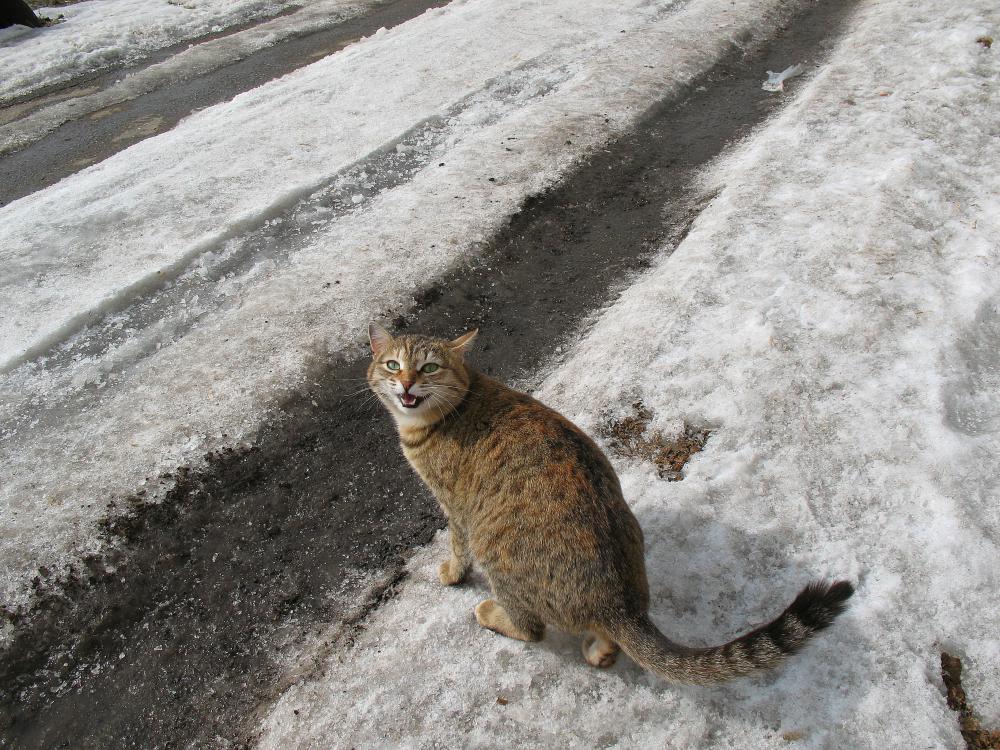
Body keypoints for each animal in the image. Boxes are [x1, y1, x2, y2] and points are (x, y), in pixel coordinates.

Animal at [368, 324, 852, 688]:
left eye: (429, 367)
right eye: (393, 364)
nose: (406, 383)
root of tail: (620, 605)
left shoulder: (455, 507)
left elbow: (456, 547)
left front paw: (451, 573)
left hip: (496, 550)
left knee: (531, 629)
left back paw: (493, 612)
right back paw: (601, 649)